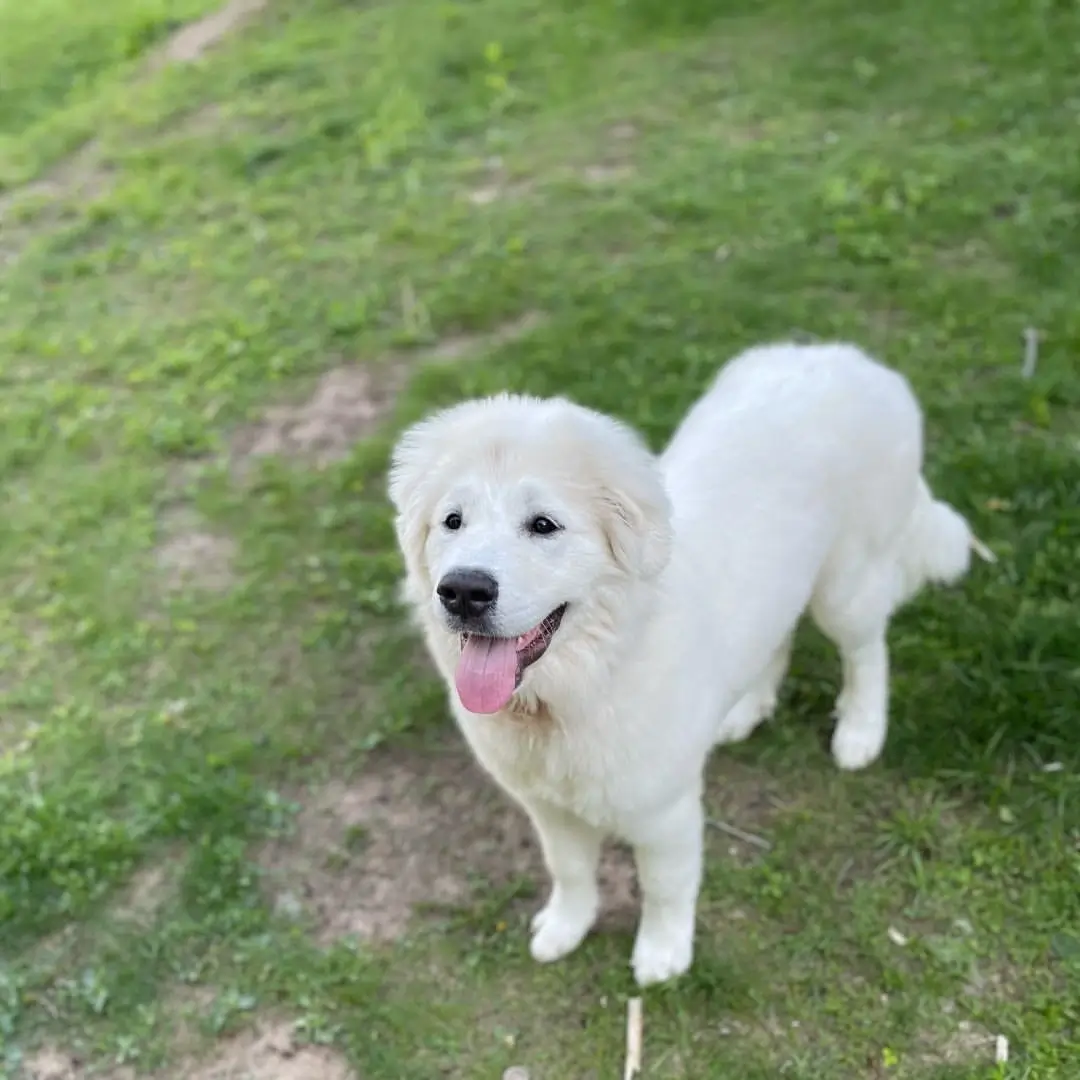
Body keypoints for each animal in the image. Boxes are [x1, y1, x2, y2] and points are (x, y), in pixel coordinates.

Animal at [388, 341, 989, 984]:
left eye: (543, 525)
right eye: (453, 521)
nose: (463, 591)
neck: (577, 687)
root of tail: (849, 357)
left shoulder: (663, 810)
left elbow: (664, 886)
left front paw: (662, 954)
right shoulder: (547, 806)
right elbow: (569, 870)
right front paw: (566, 928)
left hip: (846, 585)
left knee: (867, 650)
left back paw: (860, 730)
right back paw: (746, 709)